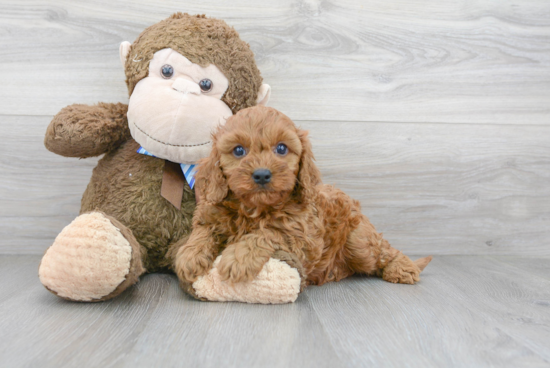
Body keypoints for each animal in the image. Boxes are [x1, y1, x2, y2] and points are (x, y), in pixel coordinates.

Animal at [177, 105, 432, 296]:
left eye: (281, 148)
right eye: (239, 151)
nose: (262, 174)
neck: (254, 208)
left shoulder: (302, 237)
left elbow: (268, 232)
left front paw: (239, 258)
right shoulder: (210, 214)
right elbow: (202, 232)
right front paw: (189, 256)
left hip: (359, 242)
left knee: (384, 251)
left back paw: (403, 268)